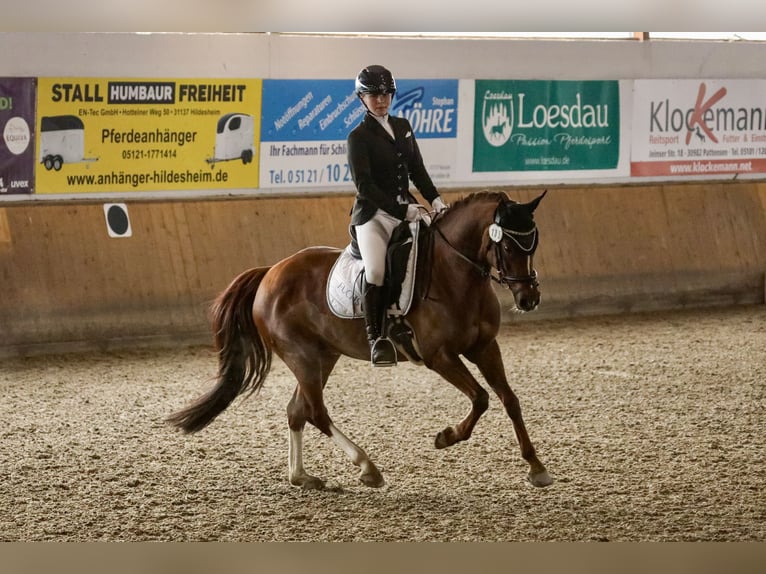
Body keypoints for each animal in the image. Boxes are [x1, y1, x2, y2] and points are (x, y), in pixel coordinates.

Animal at [168, 192, 552, 490]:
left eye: (533, 243)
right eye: (506, 244)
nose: (528, 298)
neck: (454, 273)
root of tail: (270, 273)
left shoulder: (484, 347)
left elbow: (509, 400)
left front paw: (537, 467)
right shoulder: (439, 356)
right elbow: (481, 398)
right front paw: (446, 437)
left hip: (322, 356)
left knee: (297, 410)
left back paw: (302, 477)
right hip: (302, 356)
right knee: (316, 412)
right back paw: (368, 467)